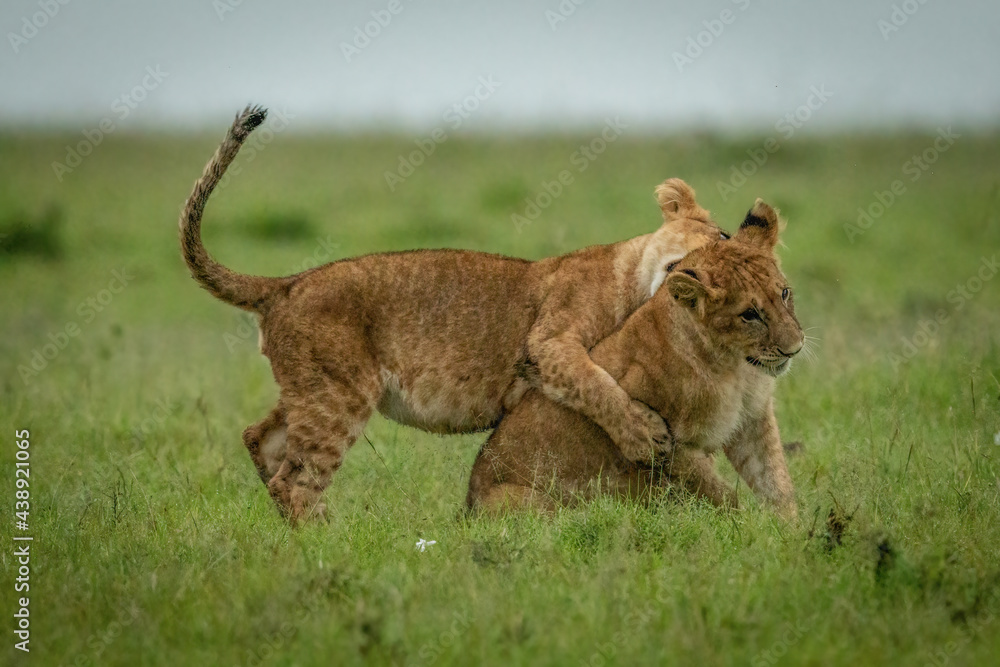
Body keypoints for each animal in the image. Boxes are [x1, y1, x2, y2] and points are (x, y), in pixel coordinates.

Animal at [179, 106, 726, 523]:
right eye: (719, 238)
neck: (635, 279)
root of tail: (286, 284)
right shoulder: (549, 341)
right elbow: (596, 384)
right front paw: (645, 436)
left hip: (312, 389)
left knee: (263, 443)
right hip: (339, 396)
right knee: (294, 481)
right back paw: (328, 542)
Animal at [466, 200, 803, 519]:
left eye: (785, 293)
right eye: (749, 314)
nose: (795, 348)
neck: (736, 368)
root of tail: (467, 506)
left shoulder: (753, 420)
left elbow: (776, 482)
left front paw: (786, 532)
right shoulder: (672, 444)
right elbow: (720, 494)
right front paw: (740, 526)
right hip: (522, 500)